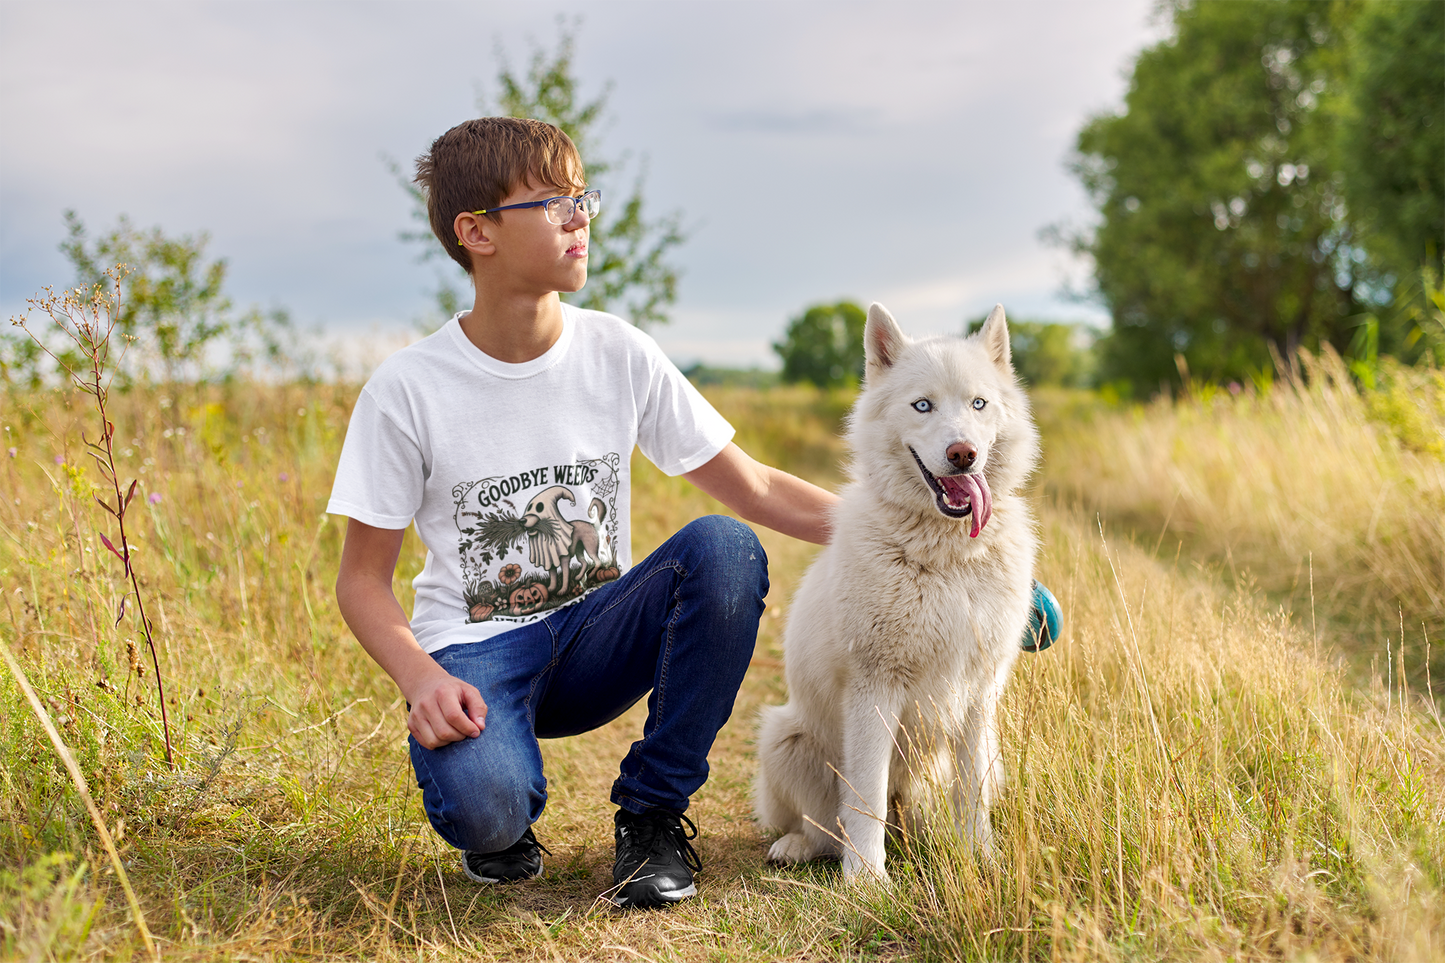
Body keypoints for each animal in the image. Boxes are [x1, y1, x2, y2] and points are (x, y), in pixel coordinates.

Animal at [757, 300, 1040, 879]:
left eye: (978, 403)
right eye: (922, 406)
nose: (963, 454)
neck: (949, 557)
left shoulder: (979, 694)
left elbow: (971, 793)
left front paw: (979, 859)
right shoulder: (874, 689)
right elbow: (865, 796)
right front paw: (867, 880)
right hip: (782, 735)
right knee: (823, 826)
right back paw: (798, 847)